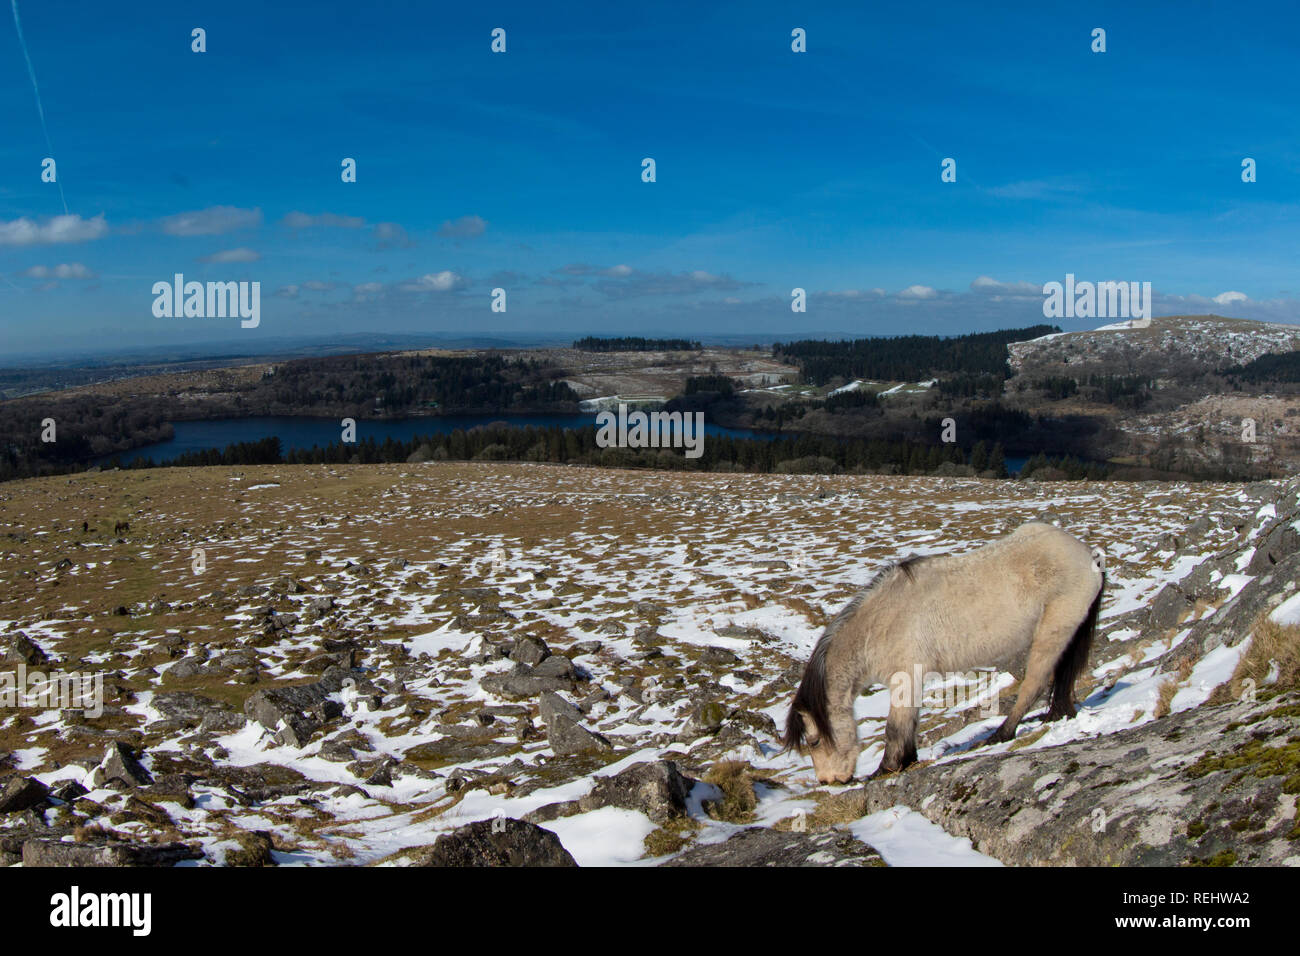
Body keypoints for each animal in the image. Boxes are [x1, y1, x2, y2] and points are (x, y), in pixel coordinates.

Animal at [780, 522, 1107, 785]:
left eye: (814, 742)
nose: (829, 780)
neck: (879, 623)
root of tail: (1089, 556)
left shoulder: (905, 677)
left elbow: (894, 727)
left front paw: (885, 769)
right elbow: (909, 723)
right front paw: (907, 760)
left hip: (1052, 632)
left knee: (1034, 684)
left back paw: (1000, 735)